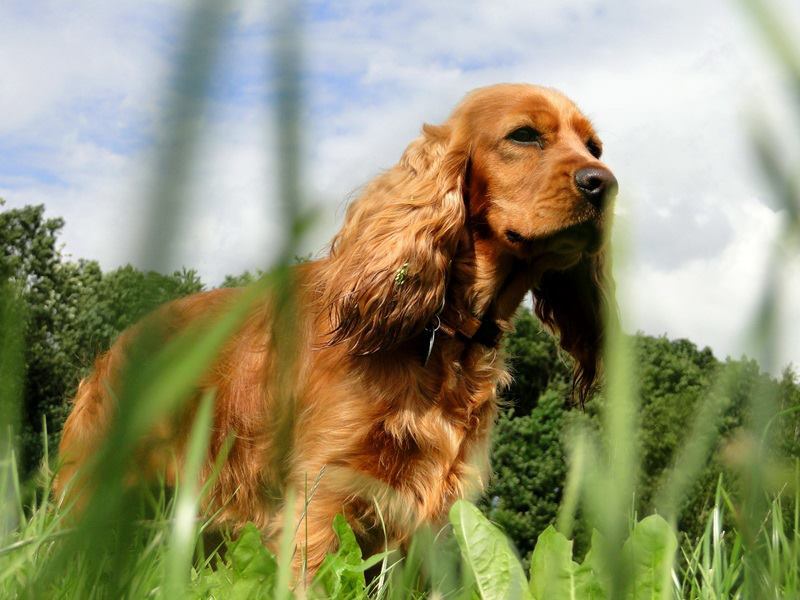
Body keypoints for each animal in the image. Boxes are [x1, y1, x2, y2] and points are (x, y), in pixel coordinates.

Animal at [54, 83, 620, 572]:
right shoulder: (321, 490)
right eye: (524, 135)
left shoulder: (435, 508)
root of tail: (115, 344)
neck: (442, 332)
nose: (604, 183)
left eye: (594, 146)